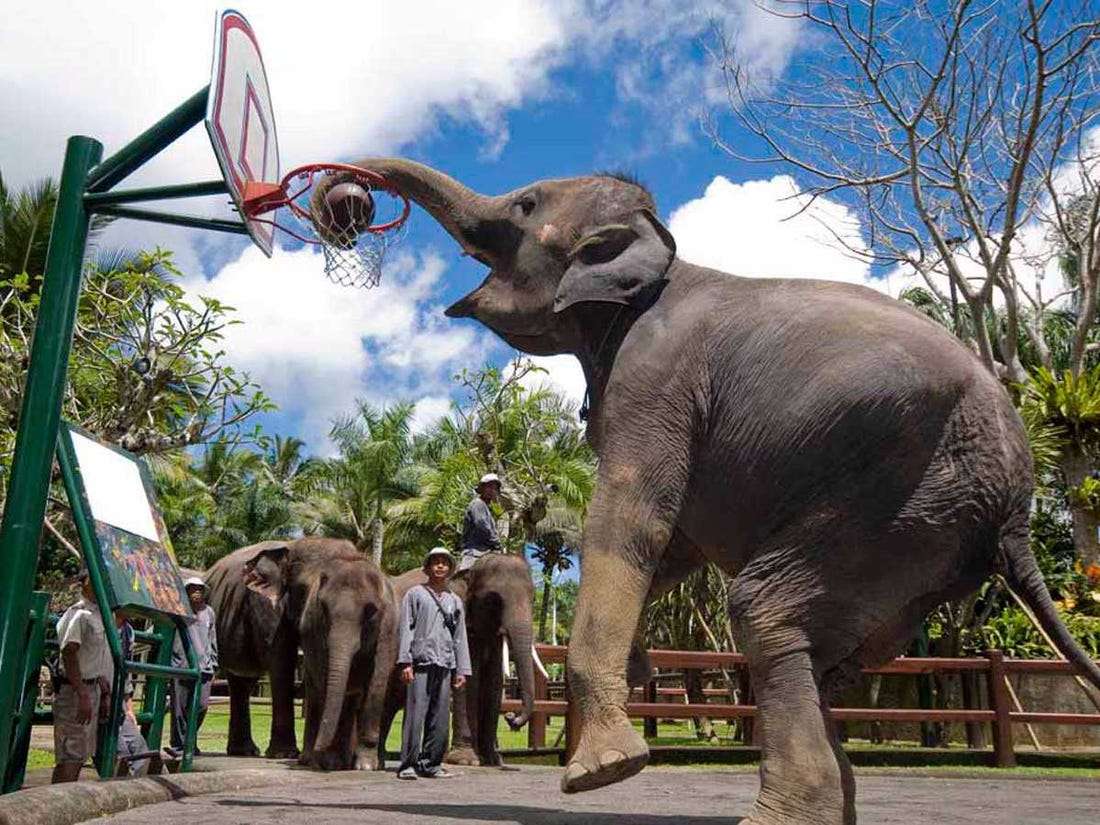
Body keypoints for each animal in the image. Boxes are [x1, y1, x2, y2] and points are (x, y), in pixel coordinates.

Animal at [206, 538, 398, 770]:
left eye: (371, 613)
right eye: (304, 589)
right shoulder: (266, 607)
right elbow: (281, 661)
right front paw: (286, 754)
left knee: (241, 682)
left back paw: (246, 751)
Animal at [382, 552, 536, 768]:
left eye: (534, 598)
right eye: (494, 601)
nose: (511, 718)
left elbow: (494, 682)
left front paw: (494, 760)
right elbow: (468, 679)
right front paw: (466, 761)